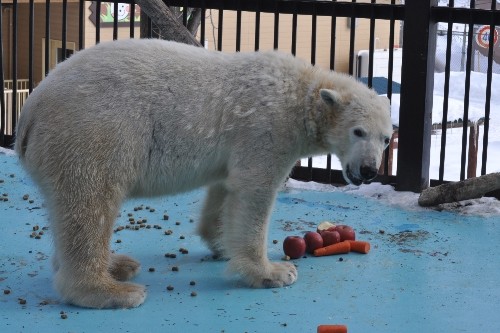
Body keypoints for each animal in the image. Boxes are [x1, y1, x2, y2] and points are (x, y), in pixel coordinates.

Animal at [13, 39, 392, 308]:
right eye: (358, 131)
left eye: (386, 138)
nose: (369, 170)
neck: (302, 91)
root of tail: (29, 111)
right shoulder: (267, 126)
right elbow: (254, 191)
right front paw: (273, 272)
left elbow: (226, 188)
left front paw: (222, 244)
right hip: (91, 131)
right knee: (90, 202)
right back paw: (113, 290)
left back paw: (118, 263)